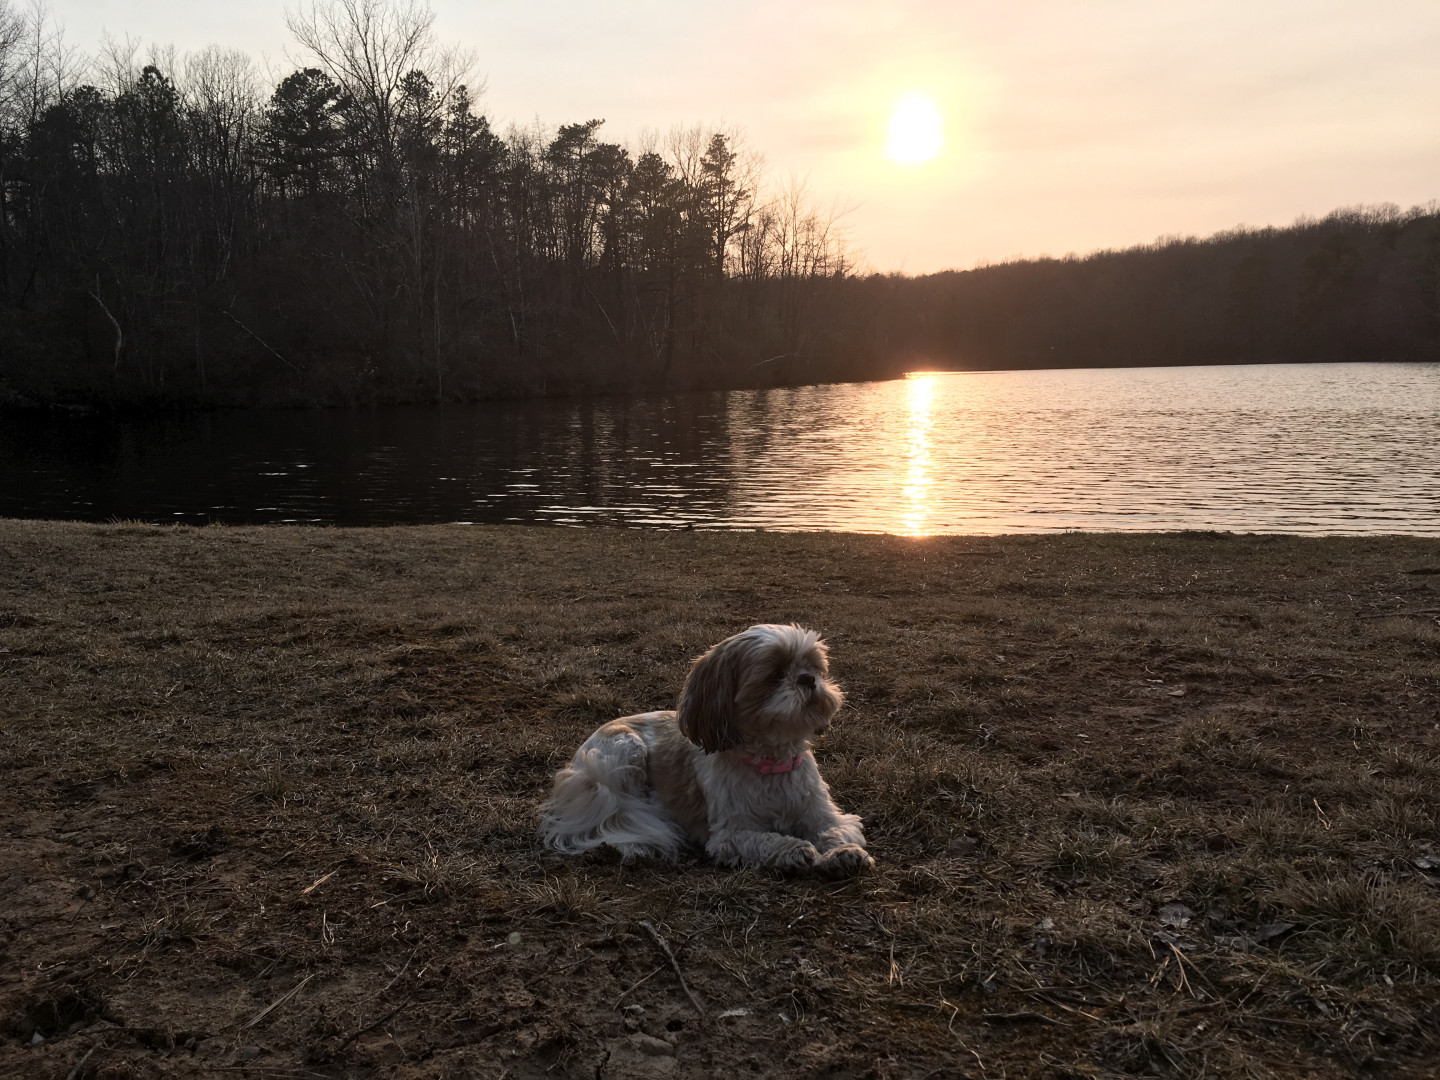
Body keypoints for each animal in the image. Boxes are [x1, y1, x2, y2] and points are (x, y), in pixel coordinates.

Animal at [540, 624, 873, 874]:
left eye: (816, 668)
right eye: (775, 675)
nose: (808, 679)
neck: (772, 762)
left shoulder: (823, 814)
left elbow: (835, 829)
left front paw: (843, 852)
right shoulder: (730, 835)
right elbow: (762, 840)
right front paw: (793, 848)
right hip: (625, 753)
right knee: (621, 810)